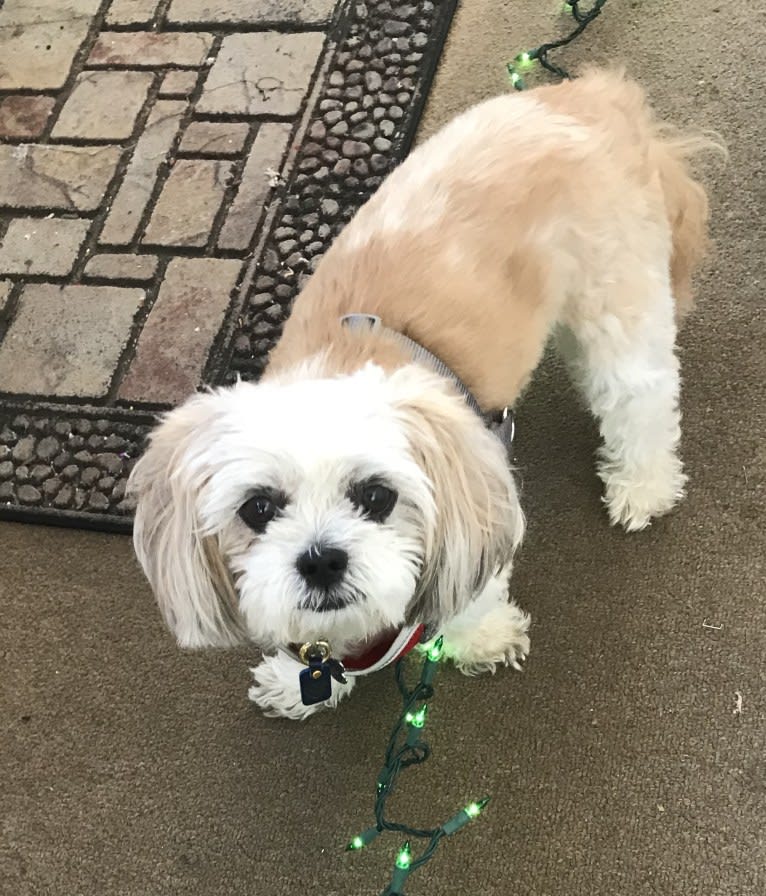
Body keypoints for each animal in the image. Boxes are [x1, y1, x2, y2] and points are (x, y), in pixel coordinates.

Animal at [130, 70, 712, 720]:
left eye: (377, 496)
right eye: (257, 508)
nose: (321, 559)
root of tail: (590, 94)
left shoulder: (479, 500)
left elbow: (472, 597)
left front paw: (482, 639)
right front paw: (296, 680)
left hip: (617, 302)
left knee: (640, 398)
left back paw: (643, 485)